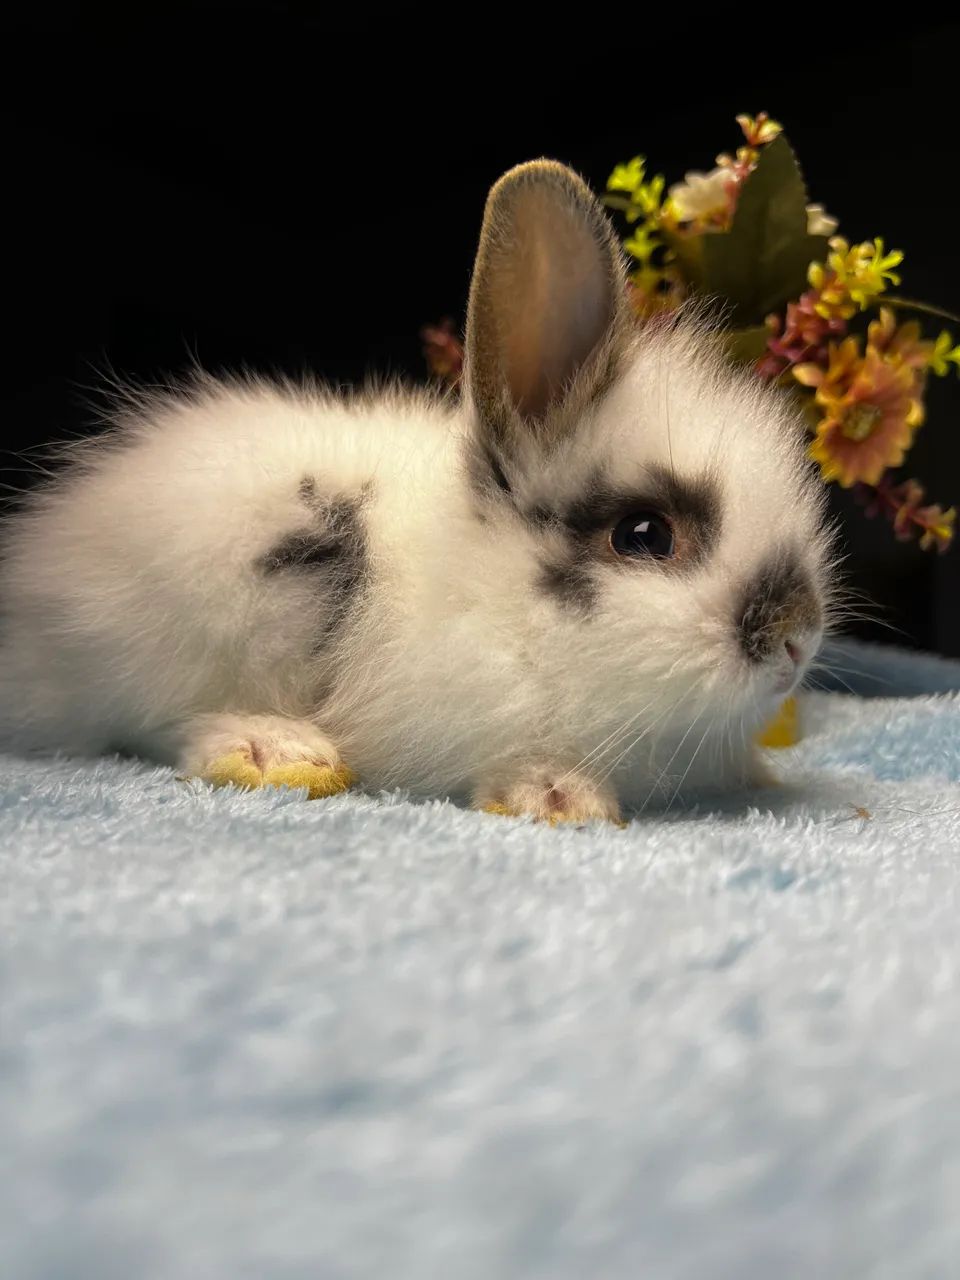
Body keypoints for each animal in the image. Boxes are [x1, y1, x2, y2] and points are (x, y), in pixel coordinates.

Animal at [0, 159, 833, 823]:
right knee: (143, 720)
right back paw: (273, 748)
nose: (797, 639)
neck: (502, 600)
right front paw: (556, 796)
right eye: (645, 535)